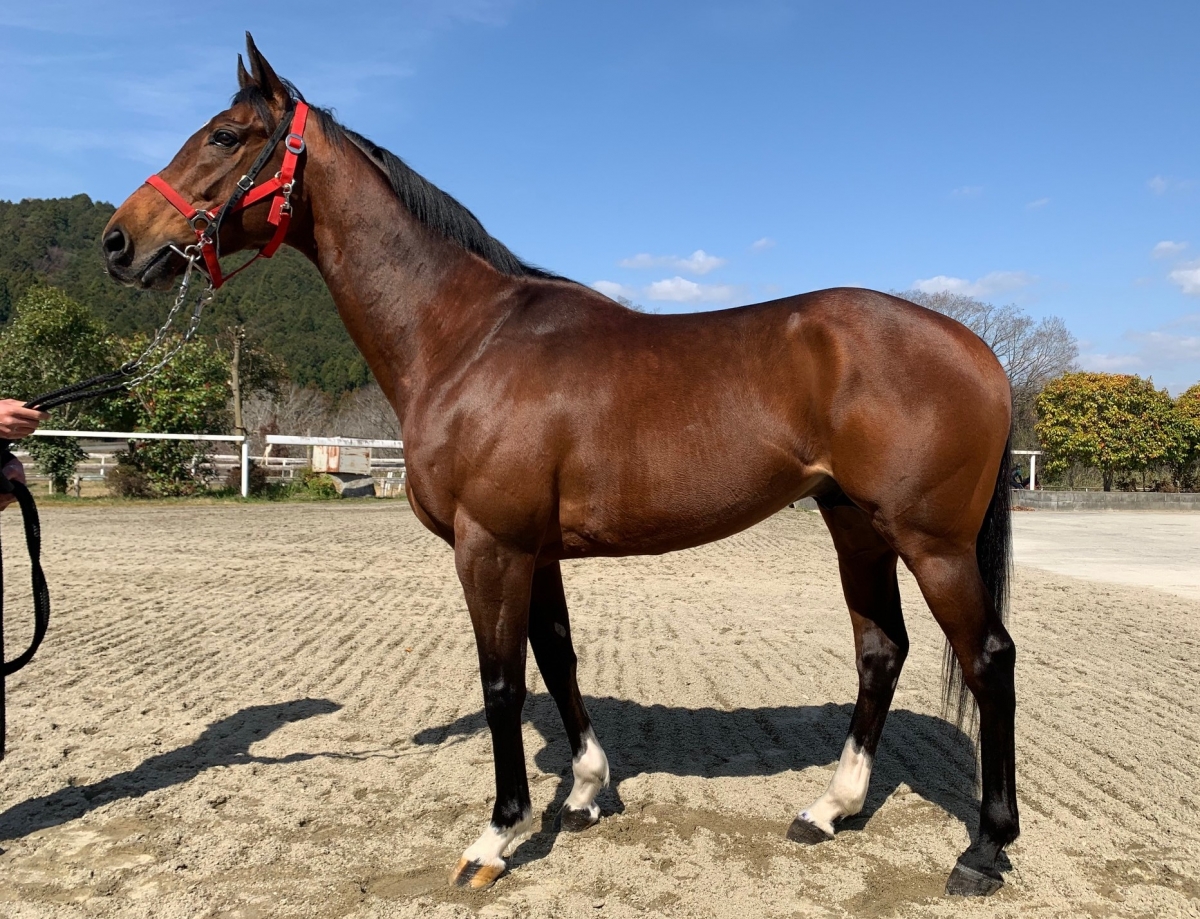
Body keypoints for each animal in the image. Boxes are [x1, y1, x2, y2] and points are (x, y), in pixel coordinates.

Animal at [102, 34, 1019, 898]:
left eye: (225, 135)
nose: (119, 241)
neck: (467, 338)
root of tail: (979, 350)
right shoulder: (535, 551)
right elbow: (559, 657)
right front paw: (582, 791)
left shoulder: (490, 546)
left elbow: (502, 681)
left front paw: (496, 835)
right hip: (855, 525)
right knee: (881, 649)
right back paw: (830, 808)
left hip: (931, 542)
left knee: (989, 658)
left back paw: (983, 848)